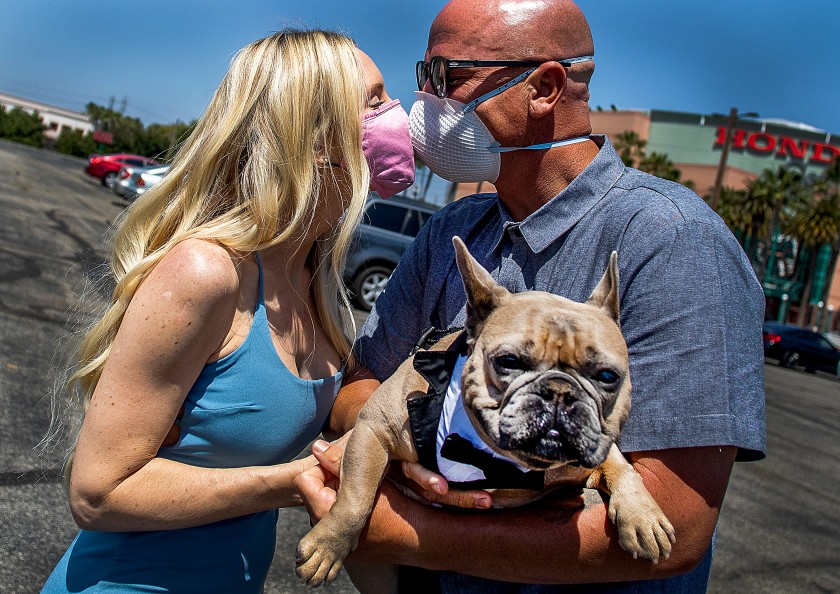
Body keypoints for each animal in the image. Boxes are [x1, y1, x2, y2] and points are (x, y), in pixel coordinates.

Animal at [296, 236, 676, 588]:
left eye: (608, 377)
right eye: (508, 361)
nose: (559, 390)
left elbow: (622, 467)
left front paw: (643, 516)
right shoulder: (374, 431)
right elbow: (355, 498)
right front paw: (327, 547)